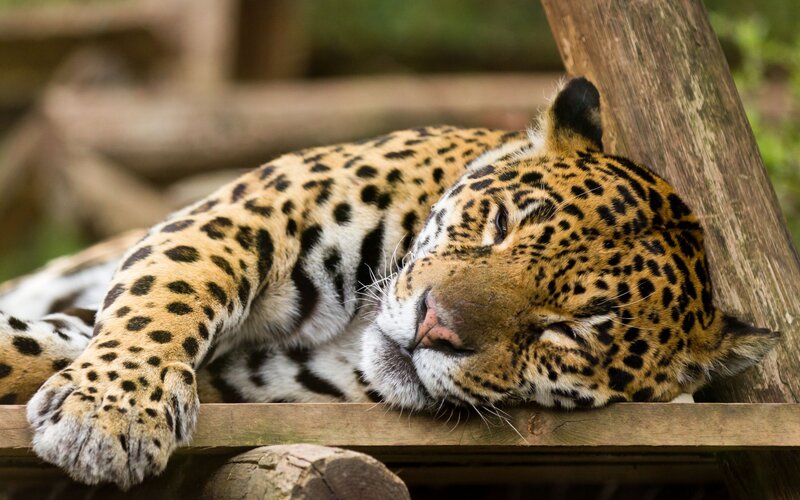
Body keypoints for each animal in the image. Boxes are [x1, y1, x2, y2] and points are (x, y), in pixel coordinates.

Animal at [0, 77, 779, 489]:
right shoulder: (247, 215)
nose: (435, 325)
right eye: (498, 225)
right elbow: (168, 294)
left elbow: (35, 349)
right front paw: (111, 414)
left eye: (567, 330)